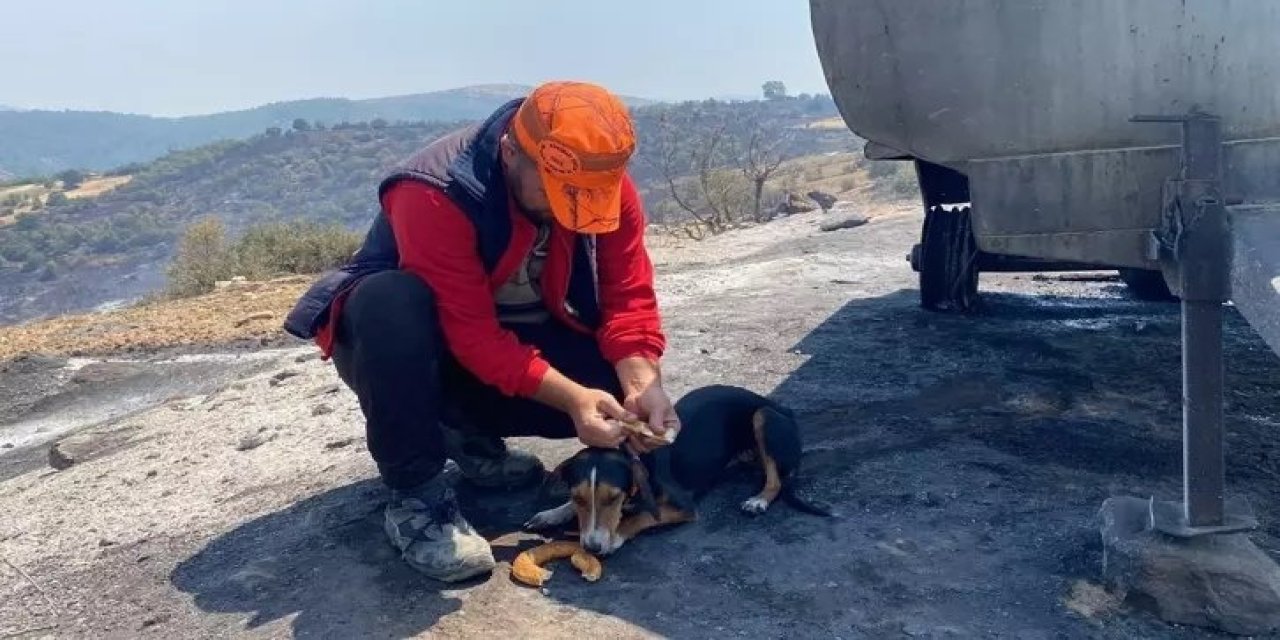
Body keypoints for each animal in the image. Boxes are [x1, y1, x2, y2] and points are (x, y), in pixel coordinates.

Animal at [519, 384, 829, 555]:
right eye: (579, 497)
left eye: (613, 498)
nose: (591, 548)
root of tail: (781, 407)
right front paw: (553, 513)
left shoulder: (683, 507)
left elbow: (642, 515)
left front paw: (615, 537)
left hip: (763, 416)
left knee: (775, 480)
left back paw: (759, 500)